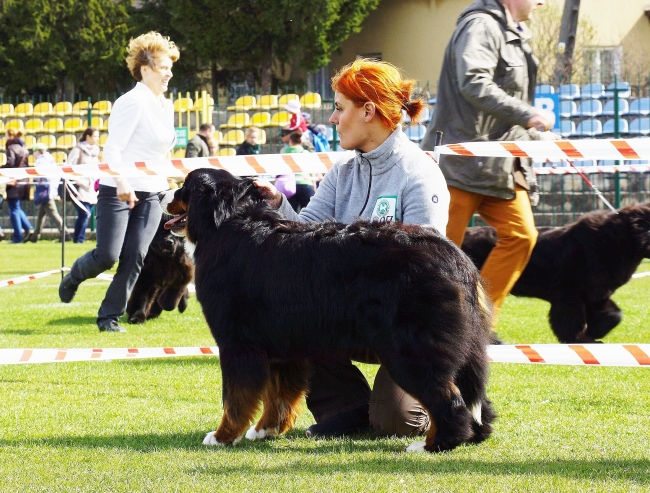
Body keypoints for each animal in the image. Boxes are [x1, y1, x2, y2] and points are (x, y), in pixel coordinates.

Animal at [161, 168, 495, 453]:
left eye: (184, 187)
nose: (161, 194)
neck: (226, 224)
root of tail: (454, 256)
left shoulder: (237, 344)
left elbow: (236, 398)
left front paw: (223, 436)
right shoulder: (283, 344)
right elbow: (277, 395)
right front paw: (266, 429)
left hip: (411, 351)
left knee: (448, 400)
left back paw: (434, 444)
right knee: (474, 399)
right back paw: (472, 436)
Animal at [461, 203, 650, 343]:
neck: (615, 242)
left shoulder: (596, 293)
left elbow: (614, 314)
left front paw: (596, 333)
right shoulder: (570, 294)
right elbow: (572, 320)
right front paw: (580, 340)